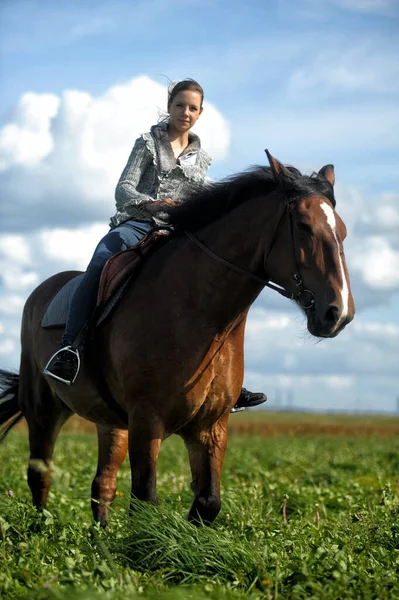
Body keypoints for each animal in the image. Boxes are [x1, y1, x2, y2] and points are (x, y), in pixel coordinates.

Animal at [0, 152, 356, 528]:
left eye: (343, 231)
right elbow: (145, 502)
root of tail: (42, 292)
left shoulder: (210, 426)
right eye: (303, 225)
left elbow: (208, 502)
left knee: (103, 484)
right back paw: (40, 529)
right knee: (40, 474)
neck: (199, 313)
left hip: (110, 423)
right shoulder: (147, 421)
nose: (339, 313)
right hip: (43, 410)